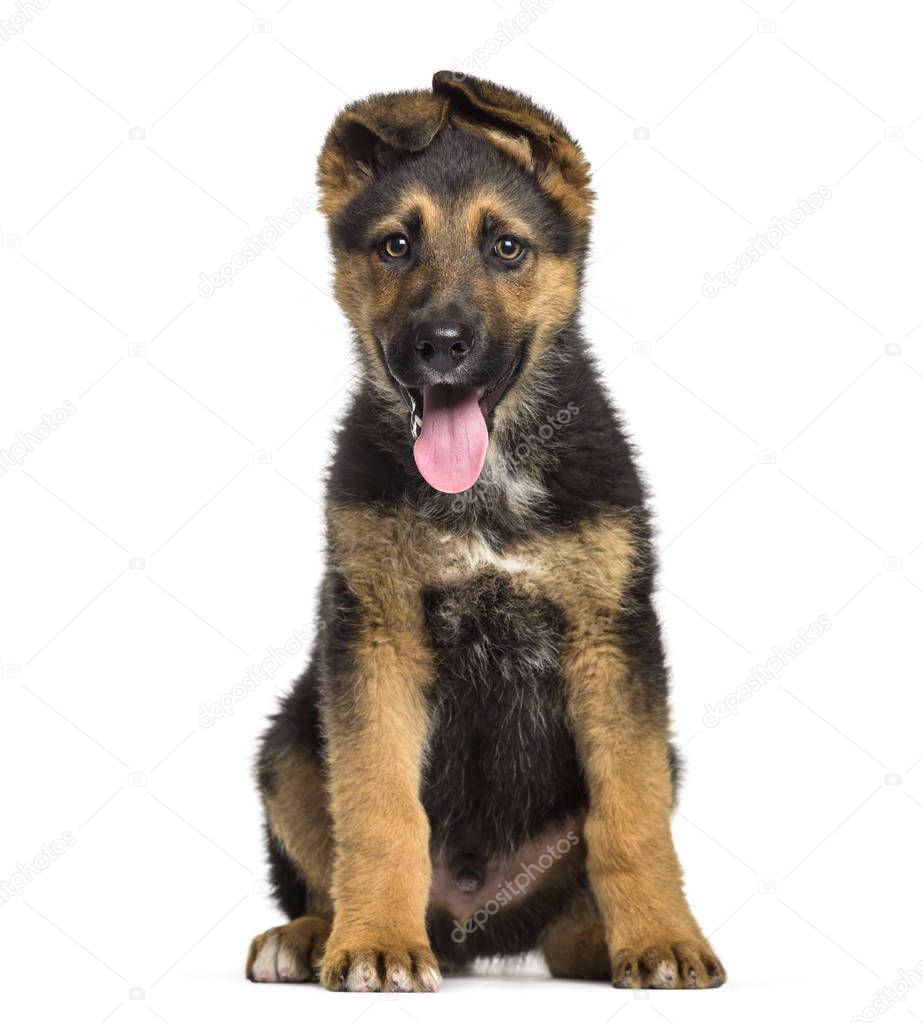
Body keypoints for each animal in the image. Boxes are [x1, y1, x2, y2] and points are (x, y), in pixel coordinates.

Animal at [247, 70, 728, 990]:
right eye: (396, 246)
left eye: (506, 248)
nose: (440, 344)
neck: (486, 486)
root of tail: (470, 927)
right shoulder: (373, 634)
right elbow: (377, 808)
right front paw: (373, 942)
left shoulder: (612, 637)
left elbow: (631, 816)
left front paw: (662, 939)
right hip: (288, 737)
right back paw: (319, 932)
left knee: (568, 916)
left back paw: (600, 943)